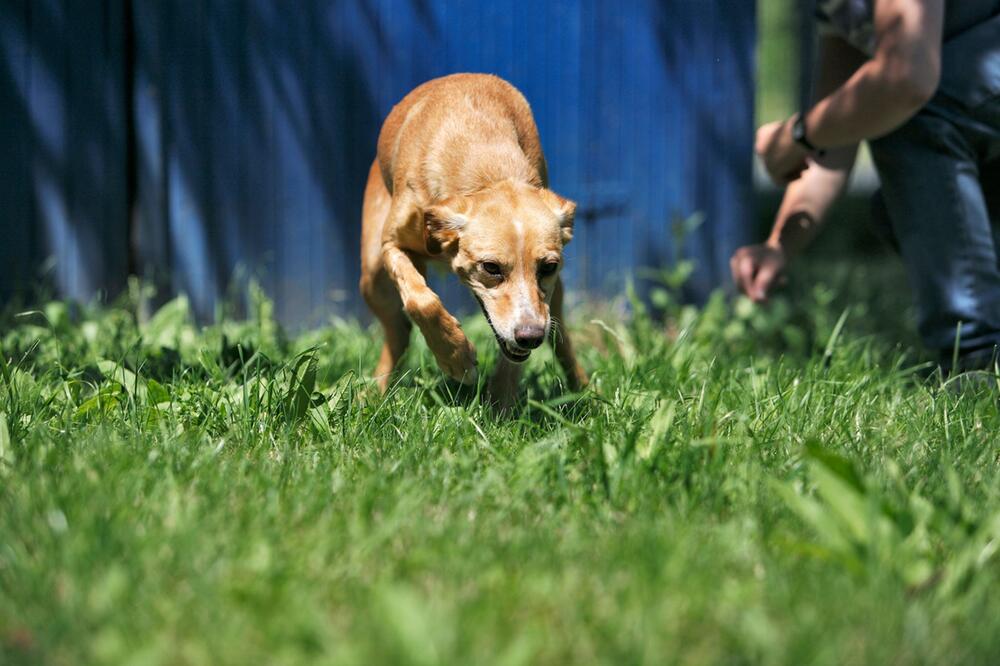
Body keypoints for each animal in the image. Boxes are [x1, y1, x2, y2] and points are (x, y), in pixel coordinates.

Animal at [362, 71, 584, 404]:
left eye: (548, 266)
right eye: (490, 267)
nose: (530, 337)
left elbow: (513, 357)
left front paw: (501, 401)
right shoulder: (393, 245)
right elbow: (420, 302)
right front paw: (456, 358)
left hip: (553, 300)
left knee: (561, 338)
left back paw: (583, 388)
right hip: (373, 278)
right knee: (397, 333)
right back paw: (372, 394)